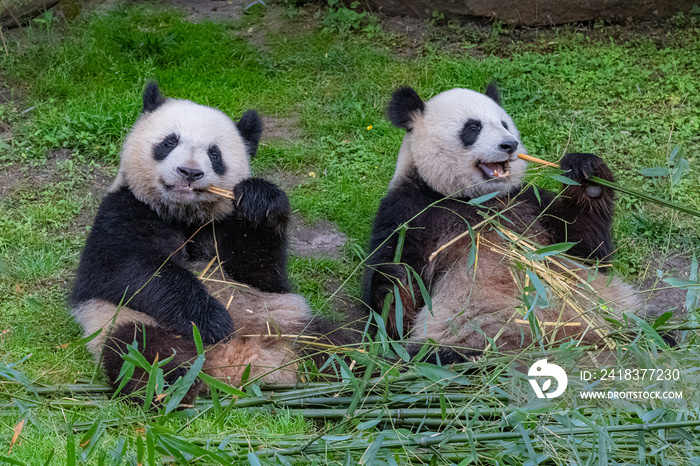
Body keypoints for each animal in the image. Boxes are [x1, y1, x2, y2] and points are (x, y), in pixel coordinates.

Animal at [364, 84, 648, 364]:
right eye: (473, 127)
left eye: (504, 124)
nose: (510, 144)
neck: (474, 198)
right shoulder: (409, 211)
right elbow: (393, 313)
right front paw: (397, 284)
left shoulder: (526, 202)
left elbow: (587, 252)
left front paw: (588, 178)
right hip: (466, 340)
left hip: (615, 316)